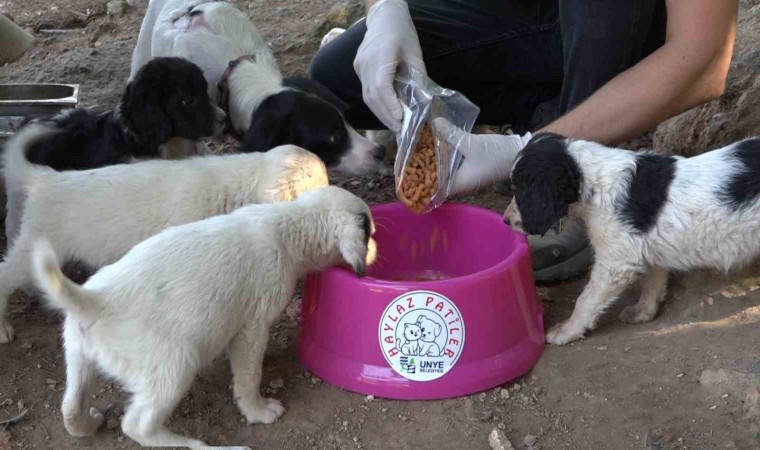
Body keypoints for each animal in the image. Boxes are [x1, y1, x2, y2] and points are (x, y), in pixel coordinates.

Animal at [32, 185, 378, 446]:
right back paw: (191, 444)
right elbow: (249, 376)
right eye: (369, 232)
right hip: (175, 365)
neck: (291, 225)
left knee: (70, 407)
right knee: (137, 425)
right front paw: (258, 410)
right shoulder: (253, 328)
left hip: (78, 356)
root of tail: (95, 301)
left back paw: (88, 423)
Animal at [504, 133, 760, 344]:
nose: (505, 220)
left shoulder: (615, 264)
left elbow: (586, 298)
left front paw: (566, 330)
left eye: (521, 190)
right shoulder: (651, 246)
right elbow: (653, 280)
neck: (593, 180)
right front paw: (643, 312)